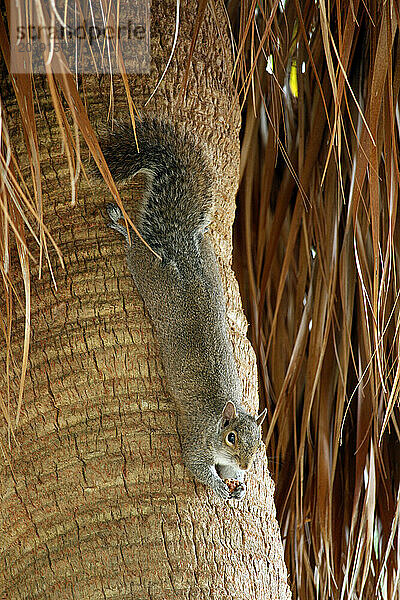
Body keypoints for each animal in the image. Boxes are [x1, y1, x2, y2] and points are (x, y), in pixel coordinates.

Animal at [95, 115, 268, 500]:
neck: (217, 419)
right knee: (136, 246)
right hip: (148, 269)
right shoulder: (197, 442)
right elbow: (197, 466)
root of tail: (179, 244)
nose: (248, 464)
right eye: (231, 437)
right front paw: (219, 486)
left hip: (207, 254)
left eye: (260, 442)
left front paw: (239, 483)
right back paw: (123, 226)